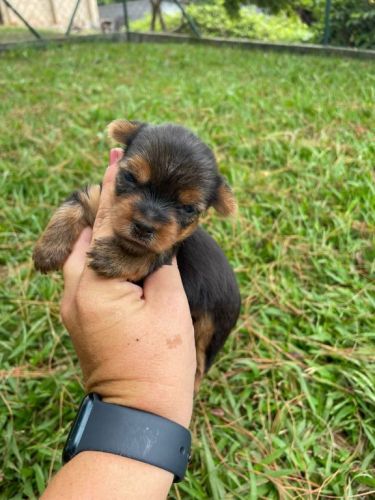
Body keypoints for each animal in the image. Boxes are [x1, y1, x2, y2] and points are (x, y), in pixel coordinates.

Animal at [33, 121, 242, 390]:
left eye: (187, 208)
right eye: (131, 177)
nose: (144, 226)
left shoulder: (166, 249)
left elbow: (145, 257)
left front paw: (113, 257)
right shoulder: (96, 196)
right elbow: (72, 206)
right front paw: (48, 250)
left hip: (213, 327)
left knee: (200, 361)